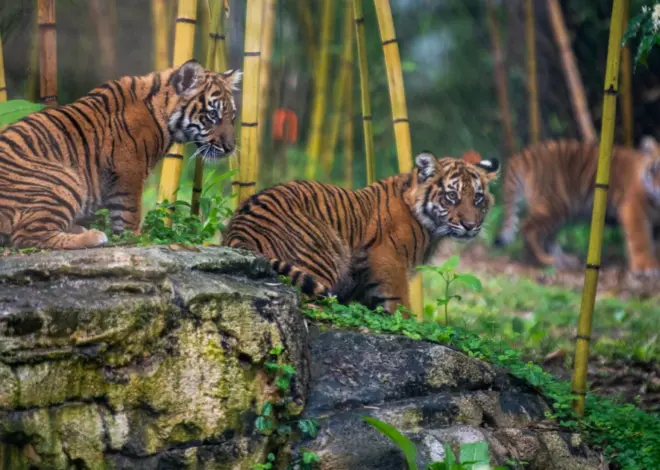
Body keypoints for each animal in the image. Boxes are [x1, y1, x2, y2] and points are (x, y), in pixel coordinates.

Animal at [0, 59, 241, 250]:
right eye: (212, 115)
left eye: (232, 116)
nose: (230, 147)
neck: (163, 116)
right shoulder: (129, 170)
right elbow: (129, 212)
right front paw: (135, 238)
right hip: (64, 179)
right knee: (26, 235)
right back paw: (93, 237)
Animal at [223, 152, 500, 314]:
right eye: (452, 196)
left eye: (477, 198)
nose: (470, 225)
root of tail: (238, 230)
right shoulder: (387, 259)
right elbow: (400, 303)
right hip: (324, 256)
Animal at [494, 137, 660, 275]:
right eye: (654, 169)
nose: (657, 189)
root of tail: (525, 153)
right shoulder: (634, 210)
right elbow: (641, 239)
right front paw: (647, 267)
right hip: (553, 205)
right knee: (528, 227)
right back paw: (544, 260)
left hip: (558, 211)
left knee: (548, 235)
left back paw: (564, 260)